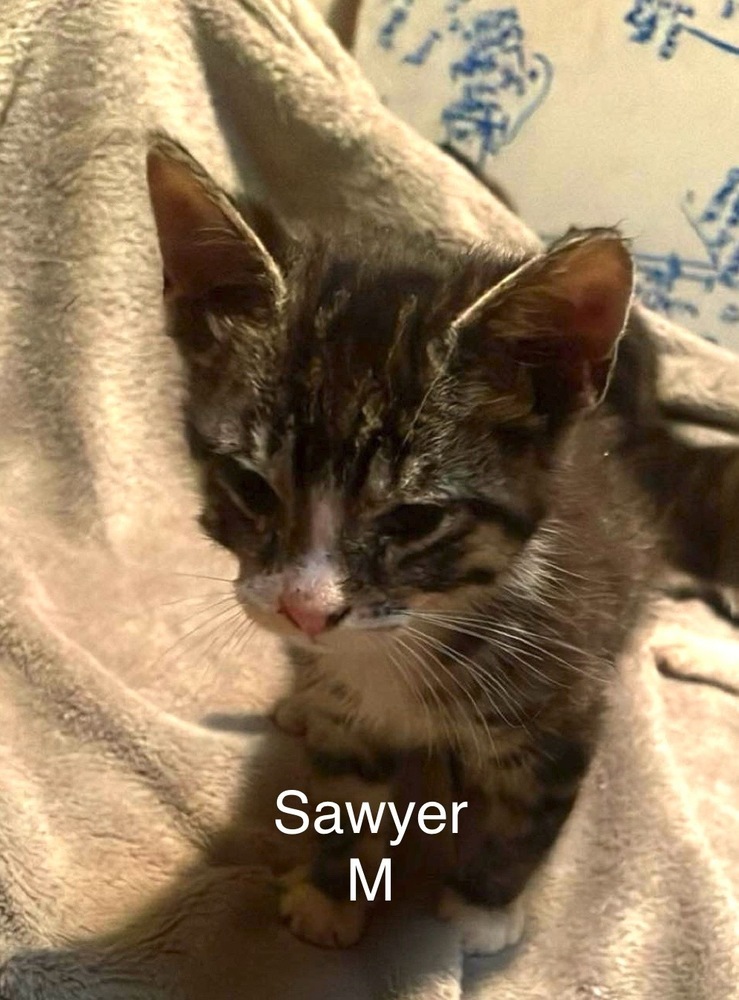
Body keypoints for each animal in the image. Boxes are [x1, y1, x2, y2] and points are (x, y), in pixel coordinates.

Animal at [146, 135, 660, 952]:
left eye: (415, 521)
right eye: (250, 486)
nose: (304, 611)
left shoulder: (565, 699)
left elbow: (529, 816)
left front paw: (483, 906)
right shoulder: (347, 715)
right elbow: (345, 795)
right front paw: (332, 891)